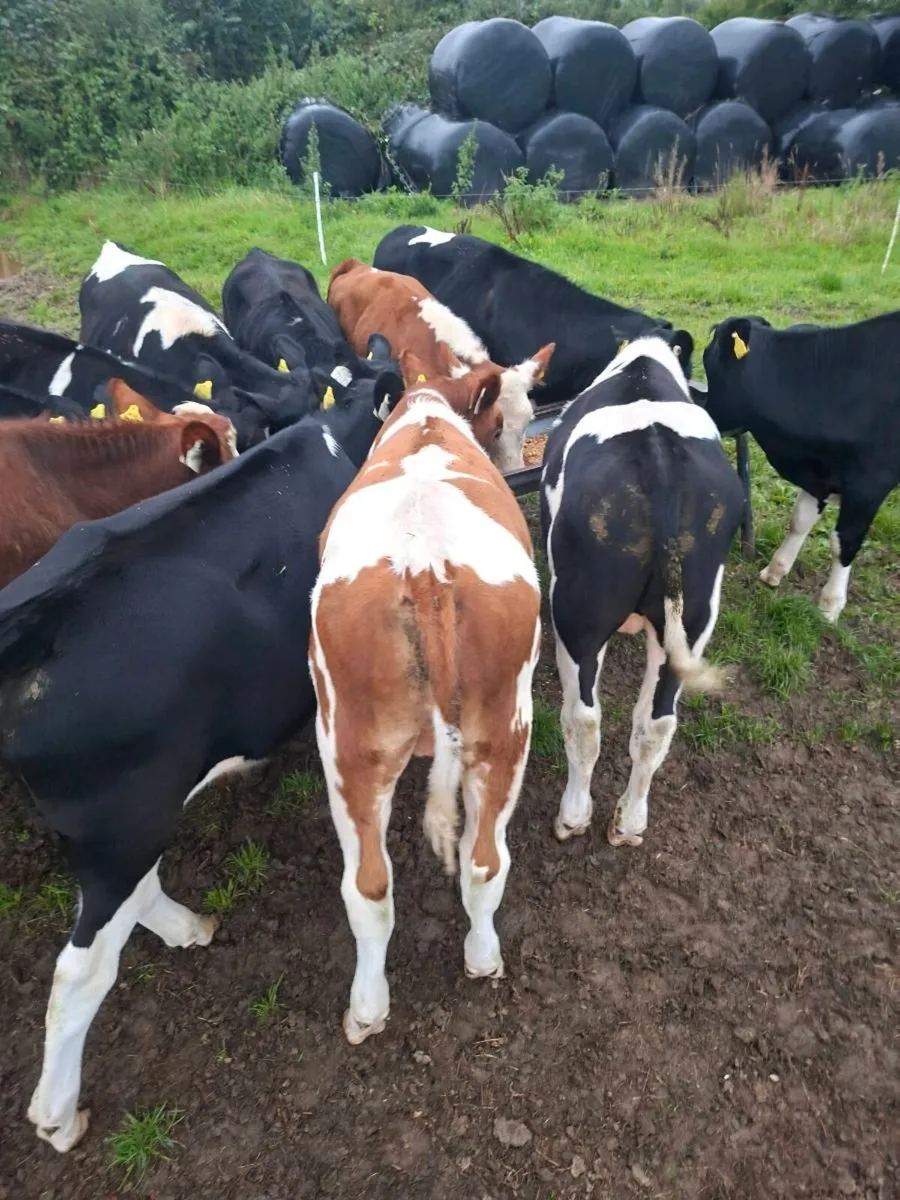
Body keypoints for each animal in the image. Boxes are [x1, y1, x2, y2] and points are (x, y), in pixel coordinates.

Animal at [0, 414, 359, 1152]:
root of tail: (34, 621)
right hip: (123, 823)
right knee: (80, 971)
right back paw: (58, 1118)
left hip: (124, 823)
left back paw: (190, 926)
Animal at [309, 349, 541, 1045]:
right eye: (498, 420)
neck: (429, 407)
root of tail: (426, 571)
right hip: (503, 732)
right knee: (478, 864)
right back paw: (475, 961)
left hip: (345, 749)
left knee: (372, 884)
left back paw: (370, 1006)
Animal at [541, 337, 743, 848]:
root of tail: (660, 467)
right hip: (693, 618)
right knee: (656, 724)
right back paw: (629, 824)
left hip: (578, 615)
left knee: (583, 718)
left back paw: (573, 817)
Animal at [702, 312, 900, 623]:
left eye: (707, 359)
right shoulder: (820, 473)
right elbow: (799, 520)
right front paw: (775, 571)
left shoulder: (870, 483)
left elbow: (845, 541)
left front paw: (830, 604)